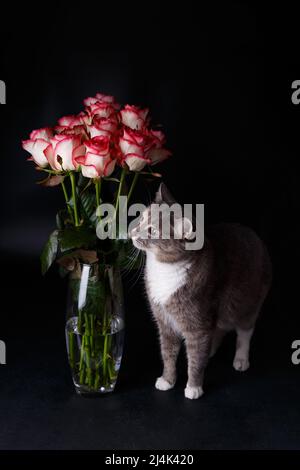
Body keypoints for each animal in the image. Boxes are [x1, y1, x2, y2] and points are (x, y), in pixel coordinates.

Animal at [129, 184, 272, 400]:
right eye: (142, 218)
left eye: (152, 230)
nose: (132, 232)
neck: (164, 268)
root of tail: (255, 236)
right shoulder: (164, 322)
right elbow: (168, 354)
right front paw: (167, 380)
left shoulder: (197, 323)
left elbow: (195, 361)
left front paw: (193, 387)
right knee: (219, 328)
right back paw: (211, 349)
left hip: (246, 302)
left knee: (244, 330)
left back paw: (240, 358)